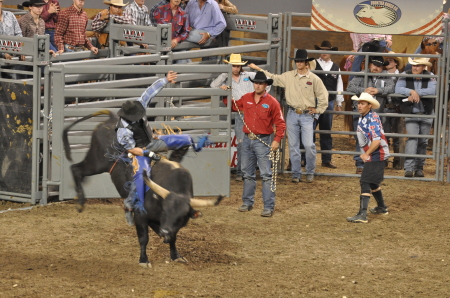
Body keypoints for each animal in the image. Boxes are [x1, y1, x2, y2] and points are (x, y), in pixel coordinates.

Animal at [62, 110, 224, 268]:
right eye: (166, 210)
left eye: (181, 216)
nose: (165, 230)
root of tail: (111, 119)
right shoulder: (141, 215)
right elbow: (144, 237)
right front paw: (144, 260)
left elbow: (172, 236)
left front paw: (175, 255)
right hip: (97, 162)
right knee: (76, 169)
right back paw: (80, 202)